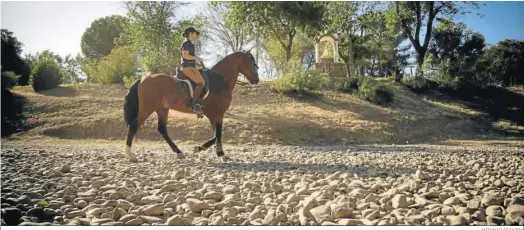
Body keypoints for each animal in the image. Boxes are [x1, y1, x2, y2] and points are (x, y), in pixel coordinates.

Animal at [125, 50, 260, 162]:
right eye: (251, 63)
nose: (257, 79)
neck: (219, 81)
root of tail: (142, 80)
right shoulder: (216, 114)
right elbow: (218, 134)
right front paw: (221, 154)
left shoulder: (215, 115)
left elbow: (215, 135)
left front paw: (200, 148)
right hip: (147, 109)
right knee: (133, 126)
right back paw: (130, 155)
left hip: (162, 109)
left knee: (162, 129)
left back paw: (179, 152)